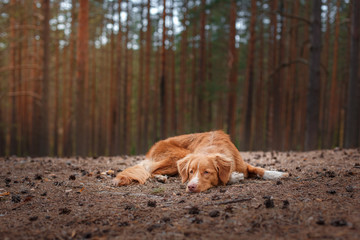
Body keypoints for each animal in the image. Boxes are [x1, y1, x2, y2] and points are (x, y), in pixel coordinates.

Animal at [113, 130, 290, 192]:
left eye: (206, 172)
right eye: (191, 172)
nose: (191, 186)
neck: (212, 148)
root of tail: (153, 147)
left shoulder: (243, 164)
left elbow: (259, 169)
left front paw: (277, 174)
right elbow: (228, 177)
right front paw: (235, 177)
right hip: (179, 155)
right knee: (151, 171)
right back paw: (161, 177)